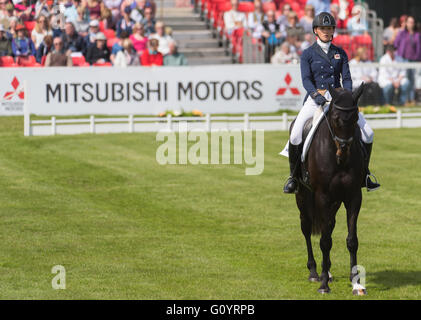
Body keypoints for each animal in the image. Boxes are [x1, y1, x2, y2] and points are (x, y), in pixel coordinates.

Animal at [294, 84, 366, 296]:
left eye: (356, 117)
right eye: (335, 118)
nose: (343, 152)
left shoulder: (353, 196)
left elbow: (351, 240)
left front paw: (356, 283)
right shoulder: (323, 197)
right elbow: (324, 242)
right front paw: (323, 285)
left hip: (335, 202)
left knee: (330, 227)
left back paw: (329, 271)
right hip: (303, 196)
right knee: (306, 228)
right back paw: (314, 272)